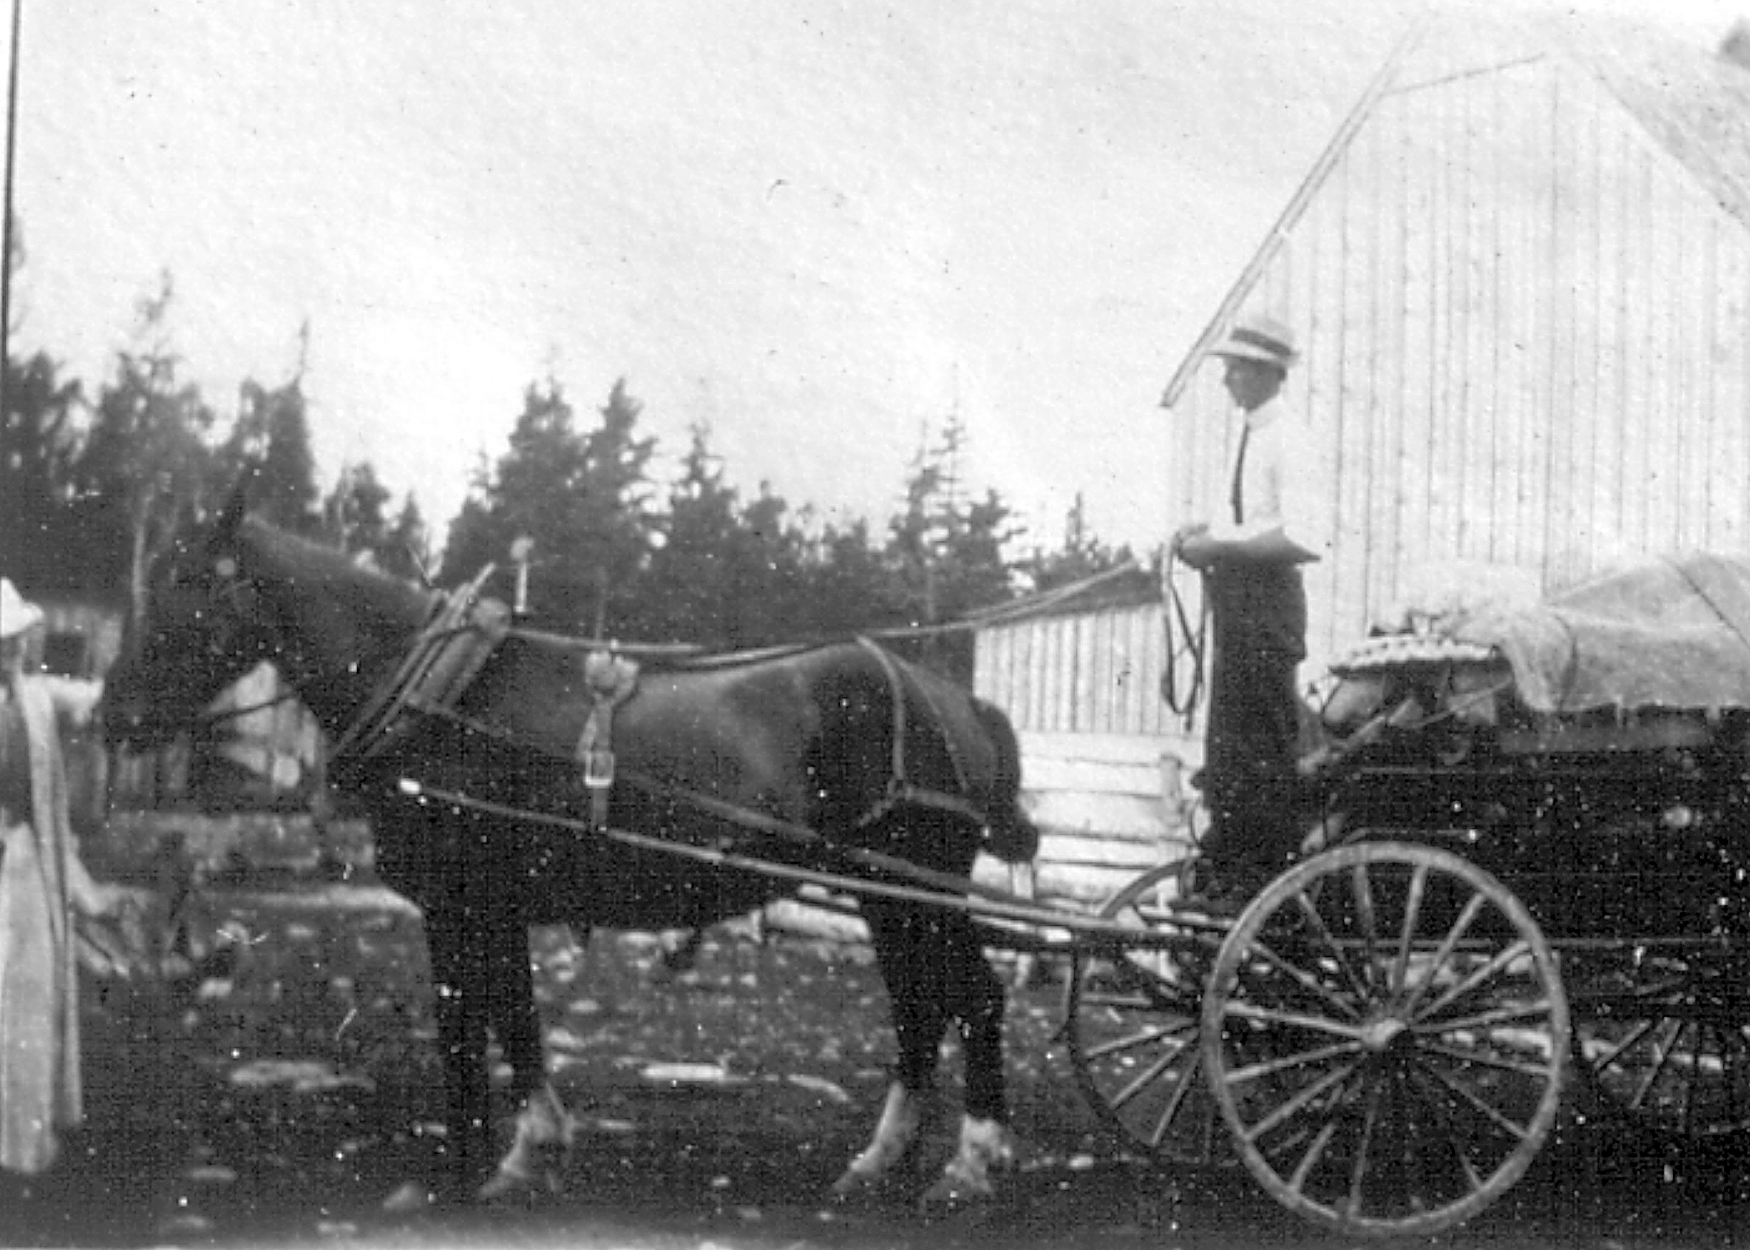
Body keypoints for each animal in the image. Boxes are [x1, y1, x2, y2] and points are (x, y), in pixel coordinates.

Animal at [102, 490, 1036, 1204]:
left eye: (186, 582)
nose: (110, 714)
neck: (442, 697)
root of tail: (954, 699)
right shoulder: (470, 908)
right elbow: (488, 1021)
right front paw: (499, 1154)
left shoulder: (473, 900)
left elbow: (489, 1021)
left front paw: (499, 1159)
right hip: (886, 899)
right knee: (921, 1011)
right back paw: (880, 1162)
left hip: (917, 889)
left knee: (975, 1001)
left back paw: (970, 1165)